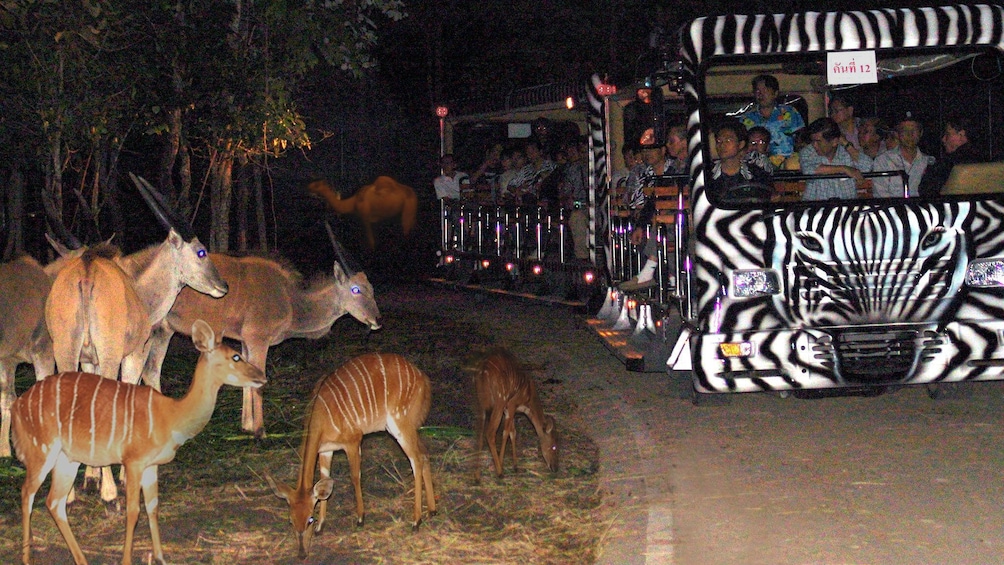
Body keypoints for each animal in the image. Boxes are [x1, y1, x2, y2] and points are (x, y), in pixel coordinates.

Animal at [10, 321, 267, 561]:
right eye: (236, 356)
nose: (262, 377)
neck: (172, 416)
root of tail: (17, 407)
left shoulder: (151, 465)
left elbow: (153, 507)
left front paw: (161, 557)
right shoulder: (133, 461)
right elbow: (133, 511)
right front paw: (127, 559)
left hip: (68, 459)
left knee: (54, 502)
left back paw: (81, 559)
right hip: (41, 451)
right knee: (27, 494)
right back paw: (26, 557)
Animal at [146, 225, 383, 437]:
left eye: (372, 289)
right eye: (356, 289)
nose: (378, 320)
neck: (290, 300)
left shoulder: (245, 342)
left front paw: (247, 426)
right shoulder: (258, 339)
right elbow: (259, 381)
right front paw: (260, 431)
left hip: (162, 332)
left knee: (150, 372)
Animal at [267, 353, 435, 561]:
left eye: (309, 519)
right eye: (290, 520)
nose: (302, 554)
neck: (320, 416)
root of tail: (423, 378)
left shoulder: (353, 441)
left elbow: (355, 476)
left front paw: (360, 518)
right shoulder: (325, 450)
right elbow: (324, 480)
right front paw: (322, 527)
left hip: (400, 423)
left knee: (416, 460)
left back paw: (416, 521)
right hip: (406, 426)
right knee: (424, 453)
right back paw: (432, 511)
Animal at [471, 349, 558, 477]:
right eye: (554, 447)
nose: (555, 468)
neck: (527, 401)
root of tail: (482, 372)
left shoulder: (508, 409)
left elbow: (513, 432)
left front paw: (515, 466)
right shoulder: (511, 404)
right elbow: (506, 432)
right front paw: (502, 464)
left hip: (481, 399)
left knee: (480, 431)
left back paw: (477, 476)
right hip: (500, 398)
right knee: (490, 432)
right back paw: (499, 473)